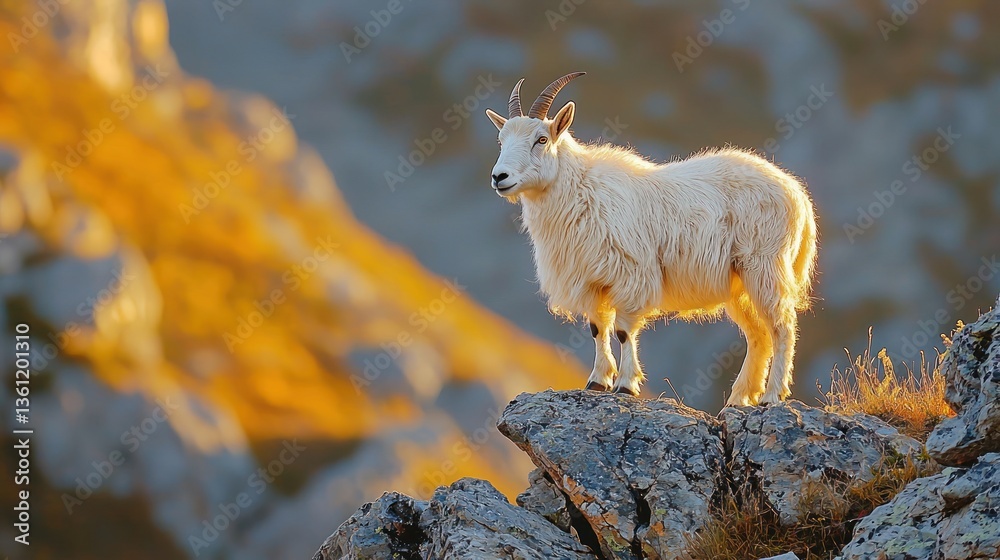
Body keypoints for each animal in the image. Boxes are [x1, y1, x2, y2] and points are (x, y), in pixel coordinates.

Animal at [484, 72, 817, 406]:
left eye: (541, 139)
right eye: (501, 141)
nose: (499, 177)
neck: (582, 191)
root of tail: (796, 193)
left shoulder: (631, 275)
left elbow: (622, 331)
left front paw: (625, 385)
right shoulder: (591, 280)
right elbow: (597, 328)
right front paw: (597, 381)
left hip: (765, 266)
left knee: (782, 327)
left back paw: (772, 396)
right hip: (739, 282)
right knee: (758, 335)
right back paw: (737, 400)